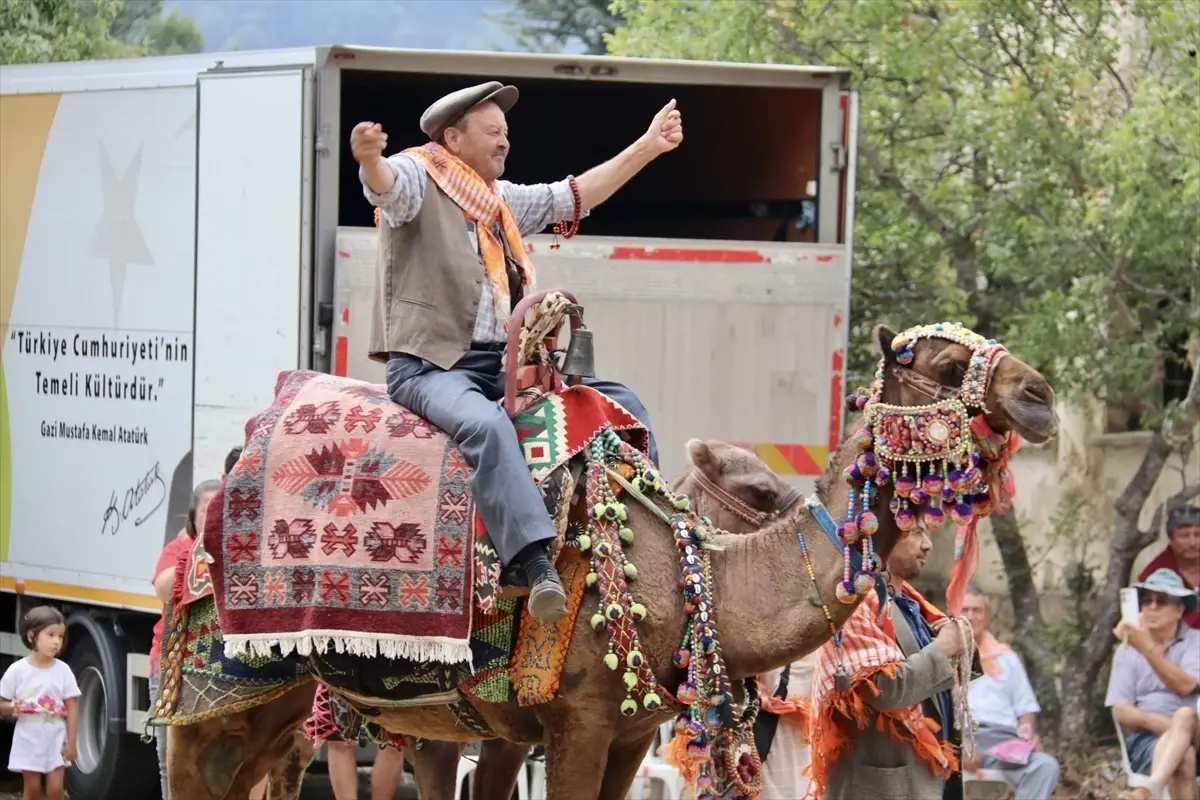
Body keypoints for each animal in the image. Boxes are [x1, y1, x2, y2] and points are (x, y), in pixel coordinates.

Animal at [164, 321, 1056, 796]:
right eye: (944, 364)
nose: (1040, 393)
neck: (684, 573)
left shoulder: (625, 735)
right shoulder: (580, 719)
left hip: (316, 713)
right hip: (219, 695)